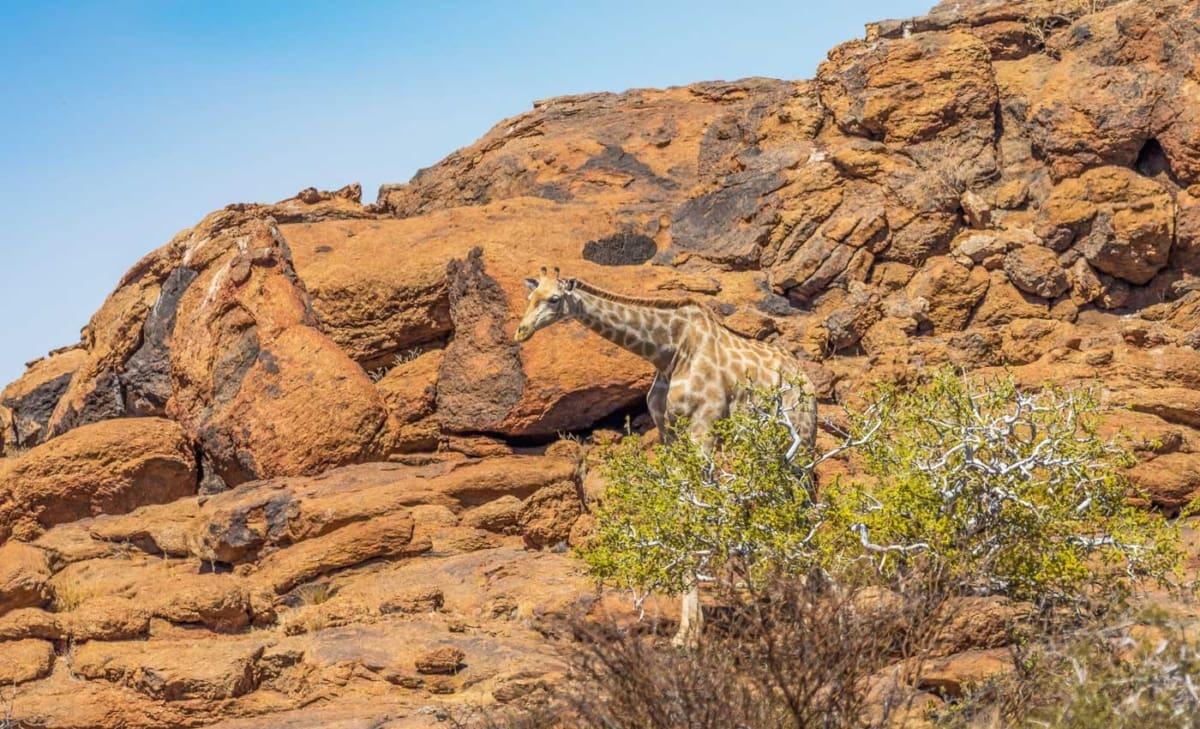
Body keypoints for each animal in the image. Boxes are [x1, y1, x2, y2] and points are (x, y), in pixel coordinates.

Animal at [514, 267, 817, 647]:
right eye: (530, 296)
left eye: (554, 299)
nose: (521, 331)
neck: (668, 351)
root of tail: (808, 381)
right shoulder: (669, 434)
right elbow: (678, 509)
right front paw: (685, 632)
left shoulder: (704, 426)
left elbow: (697, 510)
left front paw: (691, 634)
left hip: (800, 438)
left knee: (807, 505)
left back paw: (809, 612)